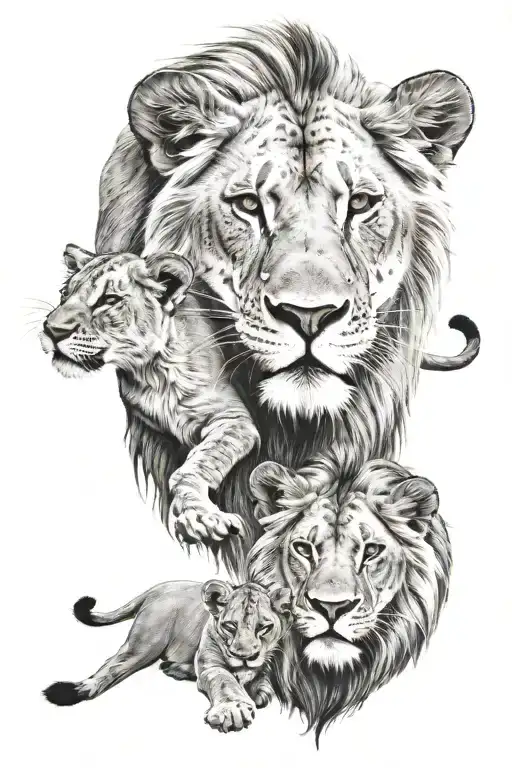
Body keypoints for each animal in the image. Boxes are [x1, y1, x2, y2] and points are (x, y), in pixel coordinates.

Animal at [40, 244, 259, 547]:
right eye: (64, 294)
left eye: (109, 299)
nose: (51, 330)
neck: (151, 372)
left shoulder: (234, 418)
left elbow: (194, 465)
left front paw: (201, 518)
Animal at [43, 579, 292, 732]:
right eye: (230, 626)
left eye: (264, 627)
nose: (244, 656)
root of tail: (160, 587)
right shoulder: (211, 665)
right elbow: (224, 682)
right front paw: (233, 710)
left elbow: (262, 679)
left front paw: (258, 689)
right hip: (144, 644)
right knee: (111, 668)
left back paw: (178, 669)